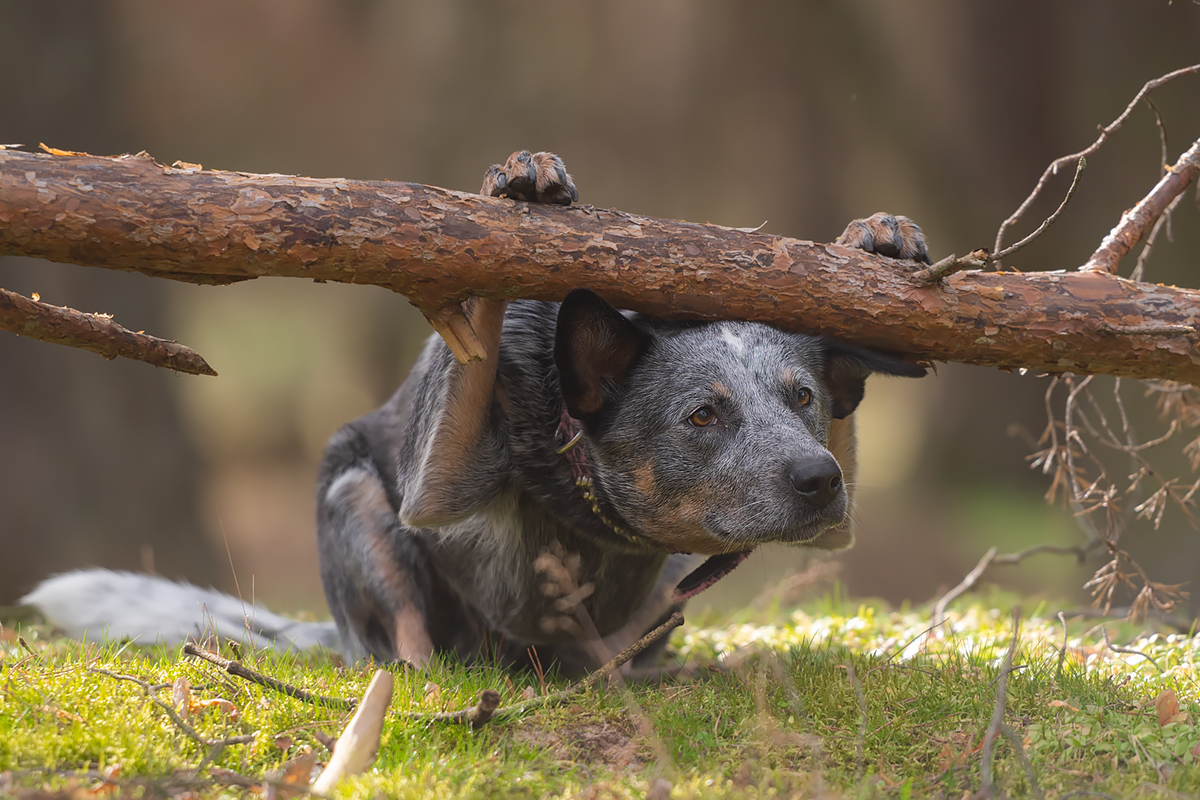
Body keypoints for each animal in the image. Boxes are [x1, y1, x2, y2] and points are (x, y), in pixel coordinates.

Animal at [23, 151, 931, 676]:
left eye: (804, 399)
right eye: (703, 415)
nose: (817, 481)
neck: (586, 510)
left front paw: (875, 239)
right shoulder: (436, 483)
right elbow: (480, 314)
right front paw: (517, 188)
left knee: (617, 656)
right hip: (354, 498)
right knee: (406, 643)